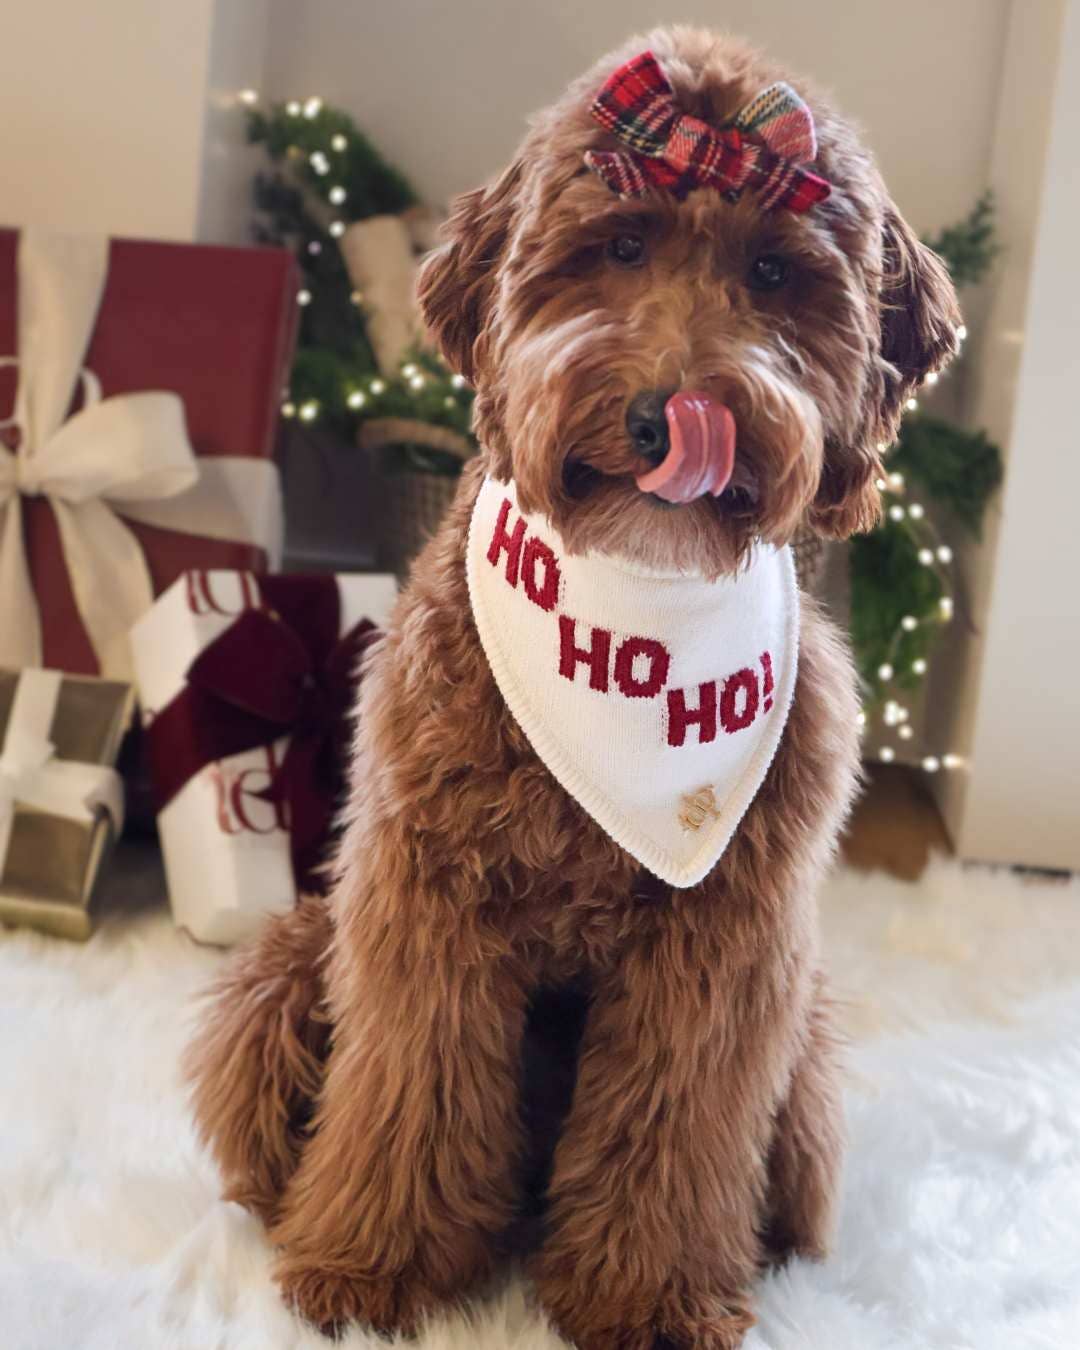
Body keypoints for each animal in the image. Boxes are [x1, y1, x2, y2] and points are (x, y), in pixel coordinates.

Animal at [187, 26, 961, 1344]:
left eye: (772, 272)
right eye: (621, 245)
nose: (670, 415)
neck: (631, 635)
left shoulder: (721, 940)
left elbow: (672, 1121)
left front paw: (646, 1298)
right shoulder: (426, 889)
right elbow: (410, 1083)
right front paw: (375, 1270)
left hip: (803, 1065)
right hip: (287, 961)